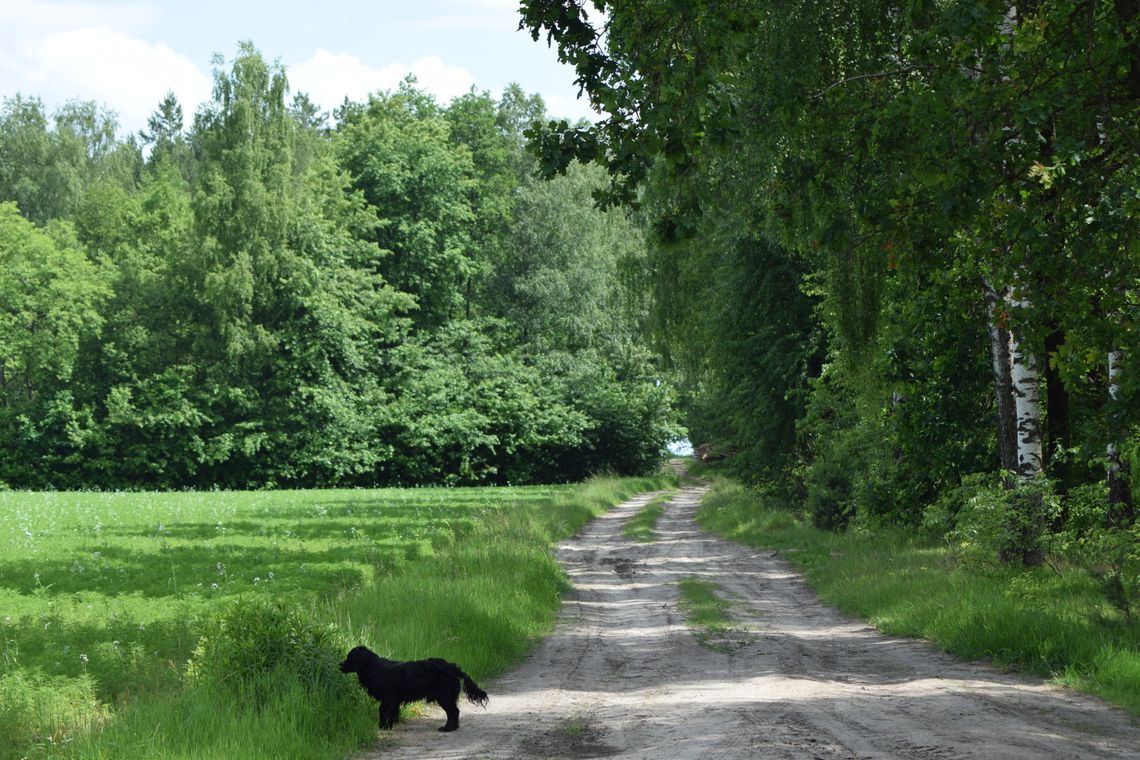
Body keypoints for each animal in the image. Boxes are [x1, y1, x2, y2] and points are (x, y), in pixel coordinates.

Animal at [332, 647, 485, 729]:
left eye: (350, 658)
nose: (340, 665)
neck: (374, 668)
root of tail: (453, 667)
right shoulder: (394, 701)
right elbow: (393, 713)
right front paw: (390, 726)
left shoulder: (388, 698)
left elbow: (382, 710)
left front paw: (382, 726)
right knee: (455, 712)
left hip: (444, 697)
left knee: (453, 712)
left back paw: (447, 729)